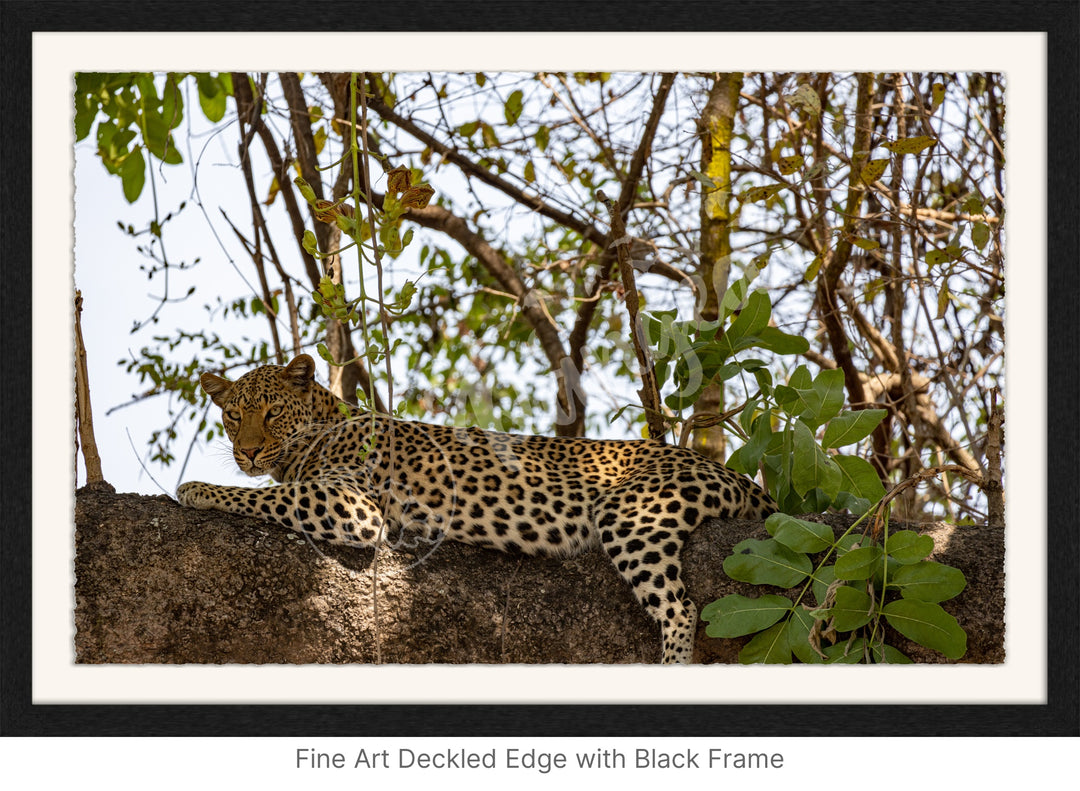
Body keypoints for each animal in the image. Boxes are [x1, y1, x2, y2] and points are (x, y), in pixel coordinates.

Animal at [177, 354, 777, 661]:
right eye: (232, 415)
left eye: (271, 413)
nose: (247, 451)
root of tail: (735, 475)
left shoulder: (352, 503)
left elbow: (265, 495)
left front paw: (195, 488)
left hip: (634, 515)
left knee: (681, 609)